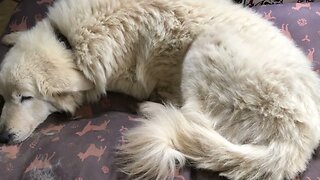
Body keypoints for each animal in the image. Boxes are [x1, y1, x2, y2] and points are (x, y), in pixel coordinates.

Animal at [0, 0, 320, 179]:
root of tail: (298, 141)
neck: (68, 41)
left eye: (26, 97)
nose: (3, 137)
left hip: (207, 46)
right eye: (3, 96)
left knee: (191, 119)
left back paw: (153, 108)